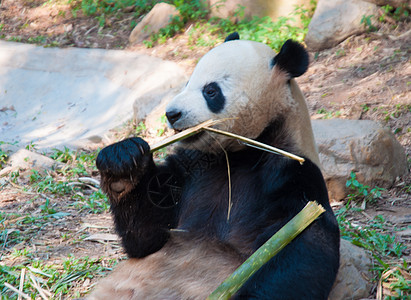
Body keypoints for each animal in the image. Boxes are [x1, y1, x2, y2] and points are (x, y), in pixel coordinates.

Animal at [91, 33, 340, 300]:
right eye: (187, 83)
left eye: (211, 91)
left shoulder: (292, 176)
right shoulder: (191, 169)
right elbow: (147, 236)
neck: (239, 154)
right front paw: (121, 163)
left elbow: (302, 248)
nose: (172, 114)